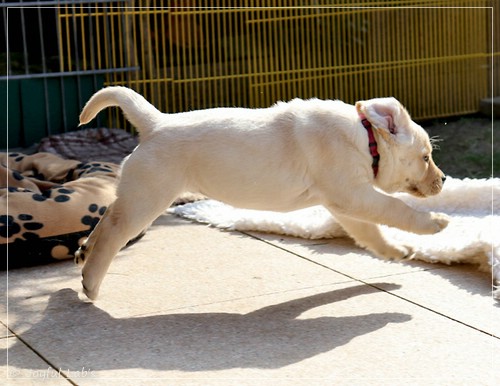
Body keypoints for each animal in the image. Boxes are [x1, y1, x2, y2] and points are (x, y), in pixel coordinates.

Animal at [74, 86, 450, 300]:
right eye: (425, 157)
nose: (444, 180)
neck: (365, 136)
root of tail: (156, 123)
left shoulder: (345, 203)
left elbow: (369, 232)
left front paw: (396, 250)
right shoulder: (354, 194)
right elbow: (395, 209)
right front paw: (435, 223)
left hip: (137, 192)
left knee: (107, 217)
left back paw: (83, 251)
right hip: (149, 196)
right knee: (113, 232)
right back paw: (91, 283)